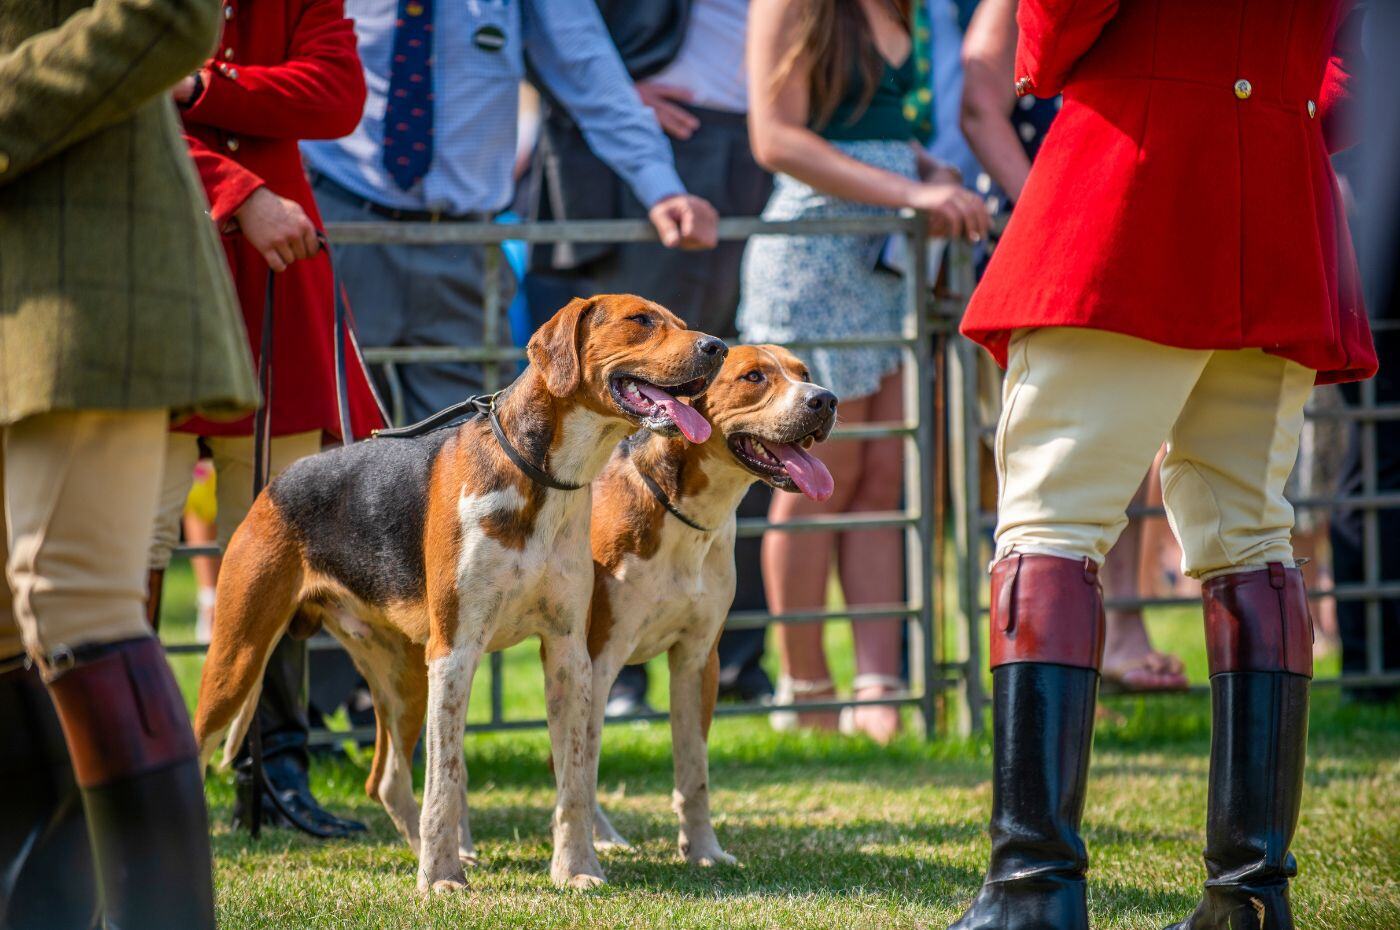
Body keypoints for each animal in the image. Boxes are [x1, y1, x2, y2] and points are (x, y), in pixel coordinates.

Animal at [192, 295, 727, 892]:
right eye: (642, 320)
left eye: (681, 322)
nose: (718, 347)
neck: (540, 476)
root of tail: (275, 483)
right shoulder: (456, 652)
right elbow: (446, 781)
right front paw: (441, 878)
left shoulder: (568, 653)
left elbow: (573, 781)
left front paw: (575, 870)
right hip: (238, 660)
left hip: (403, 677)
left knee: (386, 780)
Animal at [585, 345, 837, 865]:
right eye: (753, 377)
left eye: (803, 372)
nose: (825, 400)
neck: (682, 512)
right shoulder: (598, 660)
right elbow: (582, 764)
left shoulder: (698, 661)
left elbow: (694, 772)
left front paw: (703, 850)